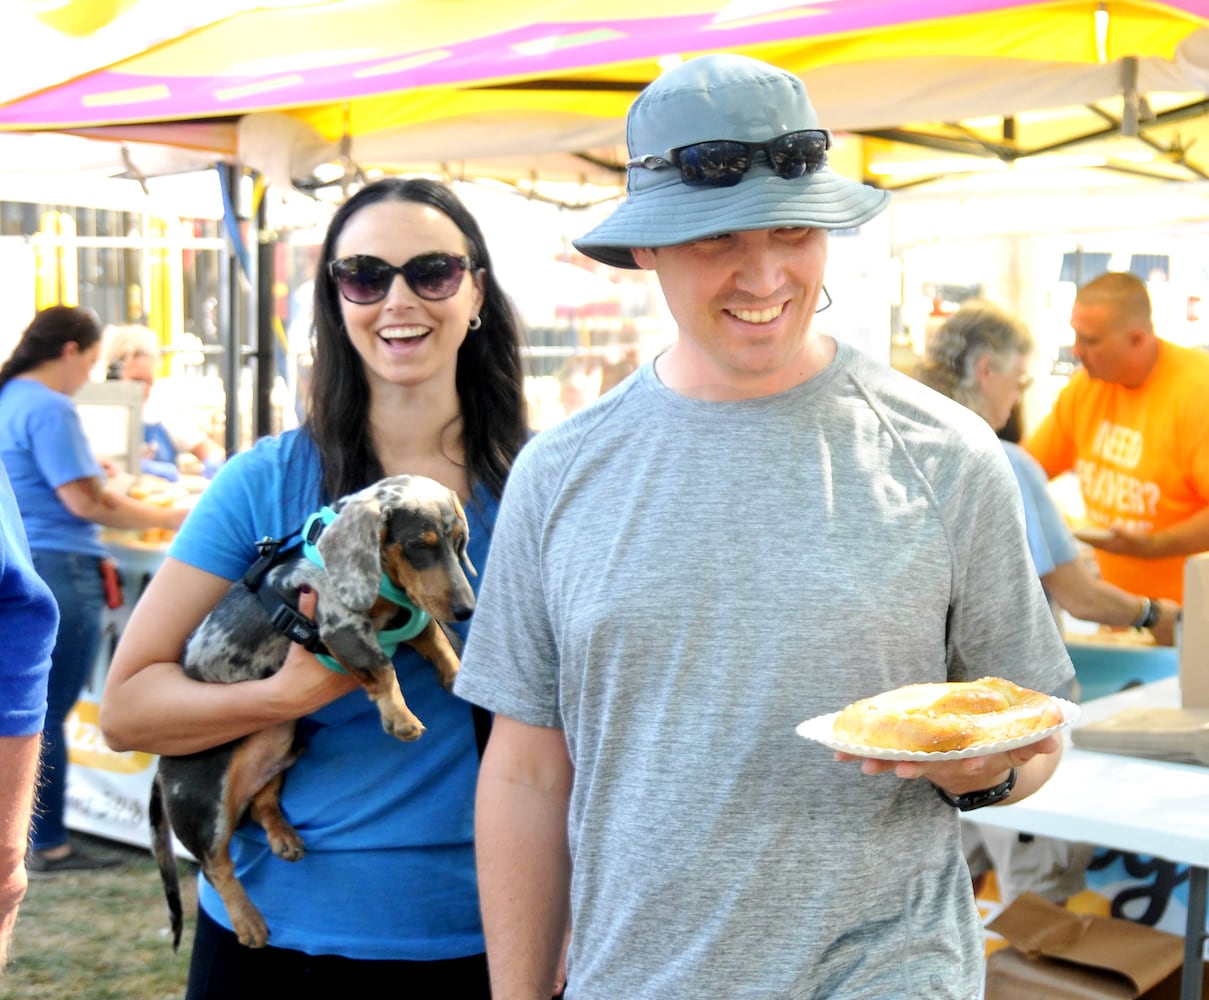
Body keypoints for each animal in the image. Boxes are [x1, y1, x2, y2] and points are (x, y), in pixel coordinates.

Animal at [148, 474, 473, 948]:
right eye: (419, 544)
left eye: (460, 541)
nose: (467, 610)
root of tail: (158, 769)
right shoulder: (343, 626)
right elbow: (382, 666)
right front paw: (401, 718)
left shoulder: (411, 616)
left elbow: (436, 641)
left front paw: (457, 675)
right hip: (203, 807)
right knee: (216, 864)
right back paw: (248, 921)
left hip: (284, 745)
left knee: (264, 802)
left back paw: (284, 837)